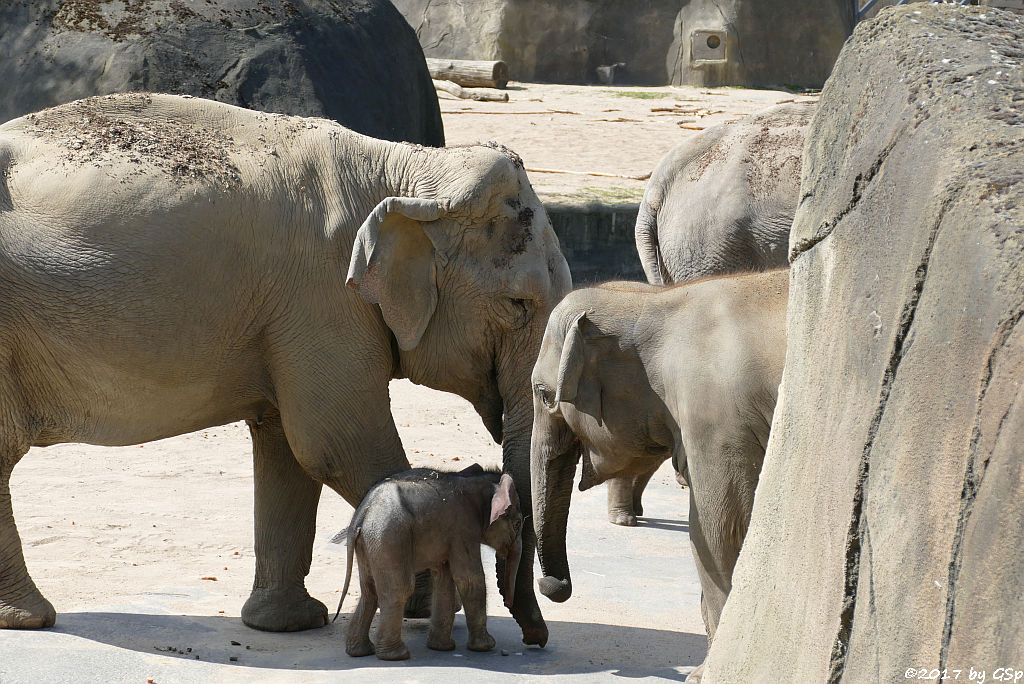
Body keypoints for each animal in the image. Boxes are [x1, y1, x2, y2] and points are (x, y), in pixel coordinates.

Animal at [335, 462, 524, 659]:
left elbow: (444, 581)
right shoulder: (463, 530)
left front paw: (442, 647)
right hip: (389, 537)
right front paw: (486, 646)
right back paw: (396, 655)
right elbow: (469, 579)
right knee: (399, 588)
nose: (508, 604)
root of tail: (360, 517)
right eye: (518, 524)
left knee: (369, 591)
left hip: (370, 543)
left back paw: (360, 652)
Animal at [532, 266, 786, 679]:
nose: (551, 585)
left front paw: (703, 675)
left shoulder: (716, 421)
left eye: (542, 393)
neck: (654, 302)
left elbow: (718, 529)